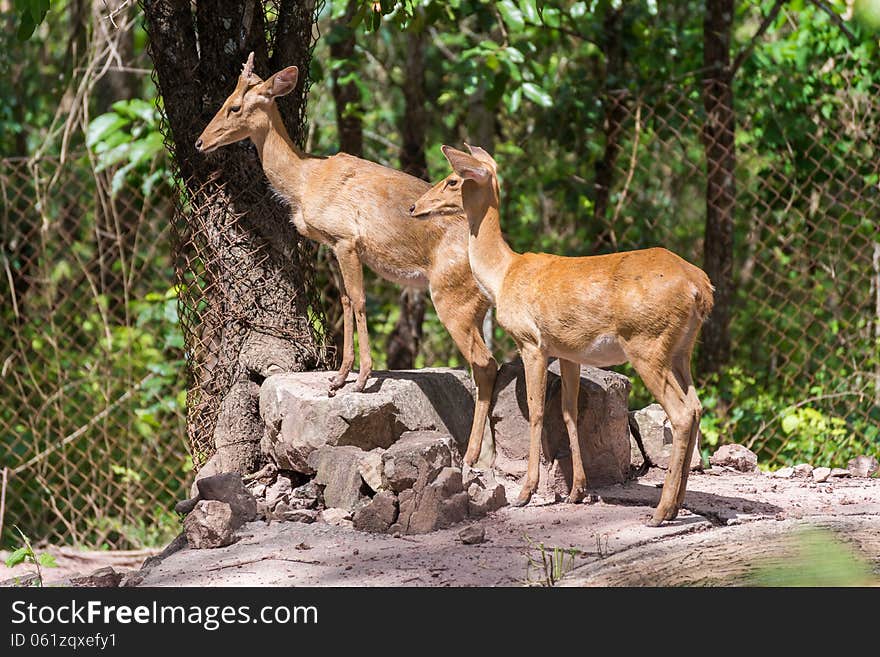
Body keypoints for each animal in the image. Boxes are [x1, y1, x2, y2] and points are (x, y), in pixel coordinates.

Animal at [197, 53, 498, 468]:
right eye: (225, 99)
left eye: (235, 106)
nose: (200, 141)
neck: (303, 180)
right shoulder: (332, 244)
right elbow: (342, 301)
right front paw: (338, 378)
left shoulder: (347, 239)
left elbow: (358, 300)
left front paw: (361, 378)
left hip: (451, 296)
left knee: (484, 364)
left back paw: (472, 456)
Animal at [412, 145, 716, 528]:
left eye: (453, 179)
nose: (414, 207)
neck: (503, 275)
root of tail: (700, 288)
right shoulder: (570, 351)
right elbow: (570, 411)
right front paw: (577, 491)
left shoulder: (531, 341)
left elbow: (538, 410)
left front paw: (526, 493)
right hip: (681, 350)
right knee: (698, 406)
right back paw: (675, 506)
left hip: (647, 342)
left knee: (682, 412)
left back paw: (660, 513)